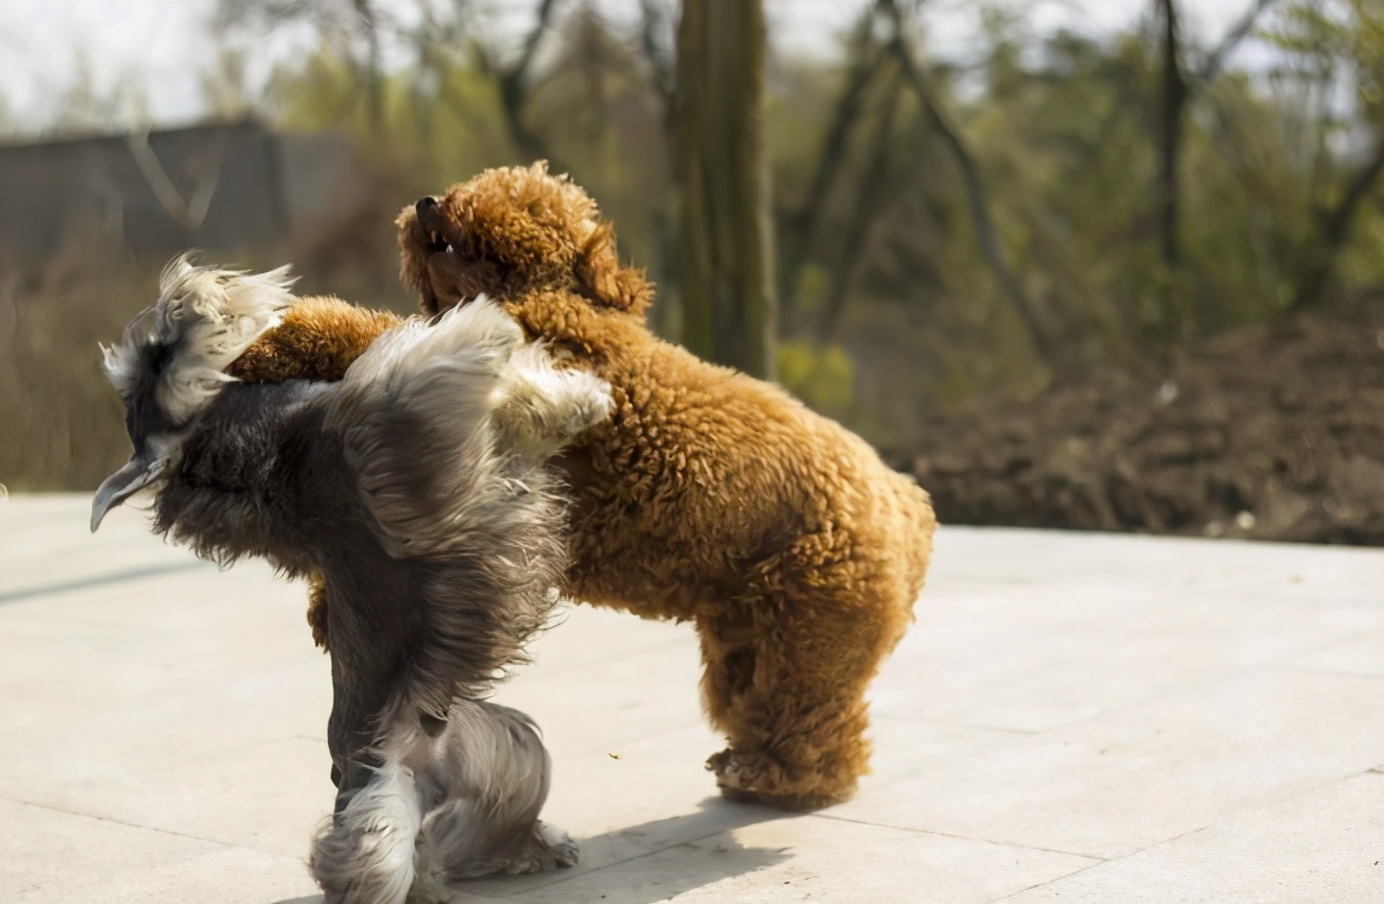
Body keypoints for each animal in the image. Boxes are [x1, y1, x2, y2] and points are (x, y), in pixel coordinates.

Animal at [86, 256, 606, 902]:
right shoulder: (395, 410)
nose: (185, 291)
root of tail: (416, 771)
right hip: (387, 822)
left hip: (513, 755)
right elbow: (478, 365)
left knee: (479, 833)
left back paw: (526, 851)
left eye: (154, 358)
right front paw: (576, 393)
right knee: (378, 864)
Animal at [229, 164, 941, 808]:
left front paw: (271, 340)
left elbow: (366, 338)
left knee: (819, 723)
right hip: (747, 636)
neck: (551, 300)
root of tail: (909, 503)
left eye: (521, 202)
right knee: (773, 707)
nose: (429, 201)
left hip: (812, 630)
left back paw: (776, 778)